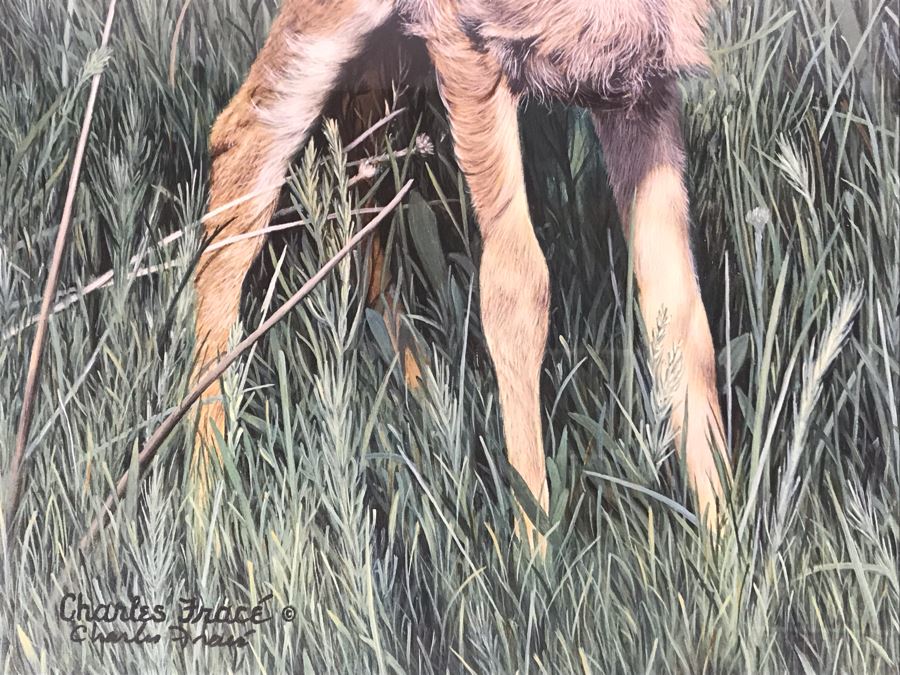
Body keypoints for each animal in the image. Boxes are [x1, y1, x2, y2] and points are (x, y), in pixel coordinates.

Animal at [189, 0, 731, 547]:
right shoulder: (470, 40)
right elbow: (517, 289)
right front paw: (535, 542)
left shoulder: (644, 82)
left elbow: (679, 309)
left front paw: (722, 534)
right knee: (244, 139)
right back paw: (204, 496)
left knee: (362, 157)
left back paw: (423, 396)